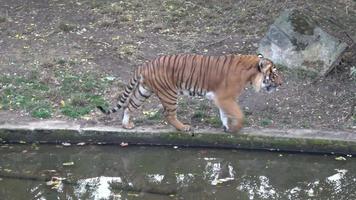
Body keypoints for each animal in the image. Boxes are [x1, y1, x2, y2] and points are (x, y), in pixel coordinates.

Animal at [97, 53, 280, 133]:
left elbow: (224, 114)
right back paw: (184, 127)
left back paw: (126, 125)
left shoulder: (222, 99)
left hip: (143, 91)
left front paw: (227, 127)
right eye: (274, 74)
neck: (250, 74)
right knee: (169, 115)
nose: (281, 83)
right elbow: (239, 114)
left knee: (129, 105)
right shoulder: (226, 98)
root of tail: (145, 64)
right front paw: (236, 128)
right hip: (169, 94)